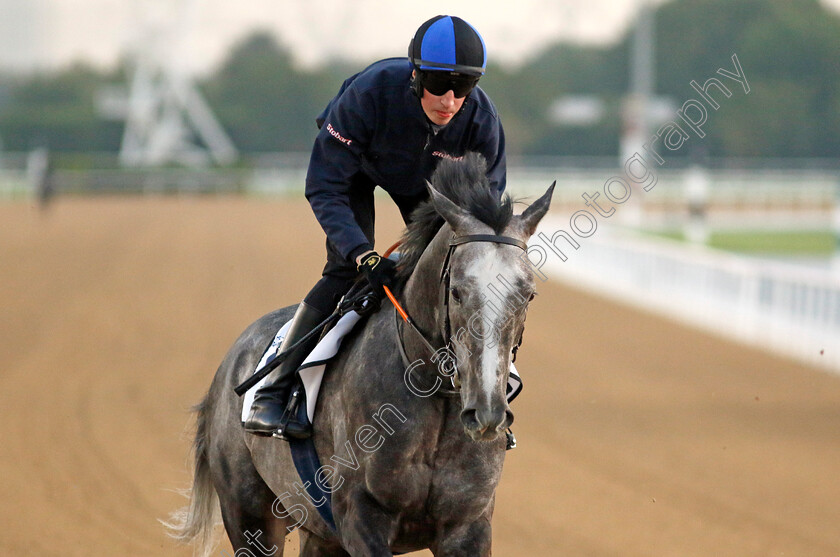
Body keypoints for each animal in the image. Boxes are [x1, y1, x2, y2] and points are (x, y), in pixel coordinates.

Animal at [167, 153, 556, 556]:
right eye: (458, 292)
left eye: (528, 294)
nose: (487, 410)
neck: (434, 396)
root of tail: (228, 364)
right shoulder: (361, 517)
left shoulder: (467, 526)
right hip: (249, 515)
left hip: (318, 534)